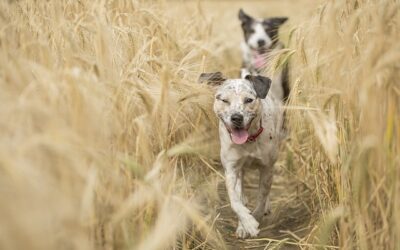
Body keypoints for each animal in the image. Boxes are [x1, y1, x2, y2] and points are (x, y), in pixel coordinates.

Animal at [198, 72, 282, 238]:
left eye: (249, 100)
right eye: (224, 100)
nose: (236, 117)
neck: (249, 141)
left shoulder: (267, 167)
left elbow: (262, 197)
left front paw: (254, 218)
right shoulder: (231, 169)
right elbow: (234, 200)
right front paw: (246, 224)